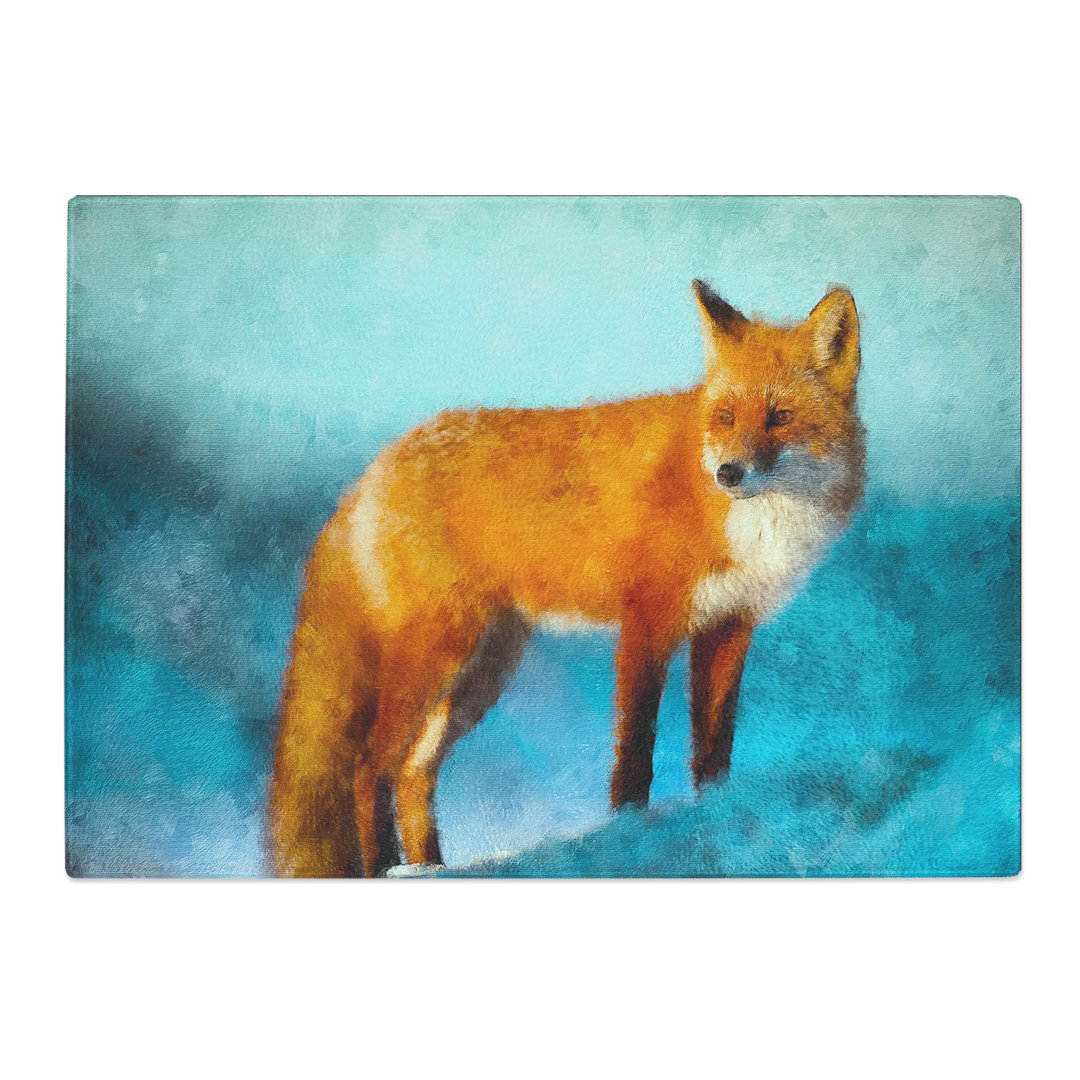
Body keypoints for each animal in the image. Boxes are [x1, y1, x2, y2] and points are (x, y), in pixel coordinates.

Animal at [268, 281, 865, 877]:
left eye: (779, 416)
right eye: (724, 416)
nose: (728, 474)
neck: (752, 523)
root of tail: (376, 466)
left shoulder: (729, 628)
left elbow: (714, 750)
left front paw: (713, 819)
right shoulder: (647, 624)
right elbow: (635, 752)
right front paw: (629, 834)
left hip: (485, 670)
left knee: (414, 772)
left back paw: (430, 869)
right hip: (437, 655)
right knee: (369, 767)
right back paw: (386, 869)